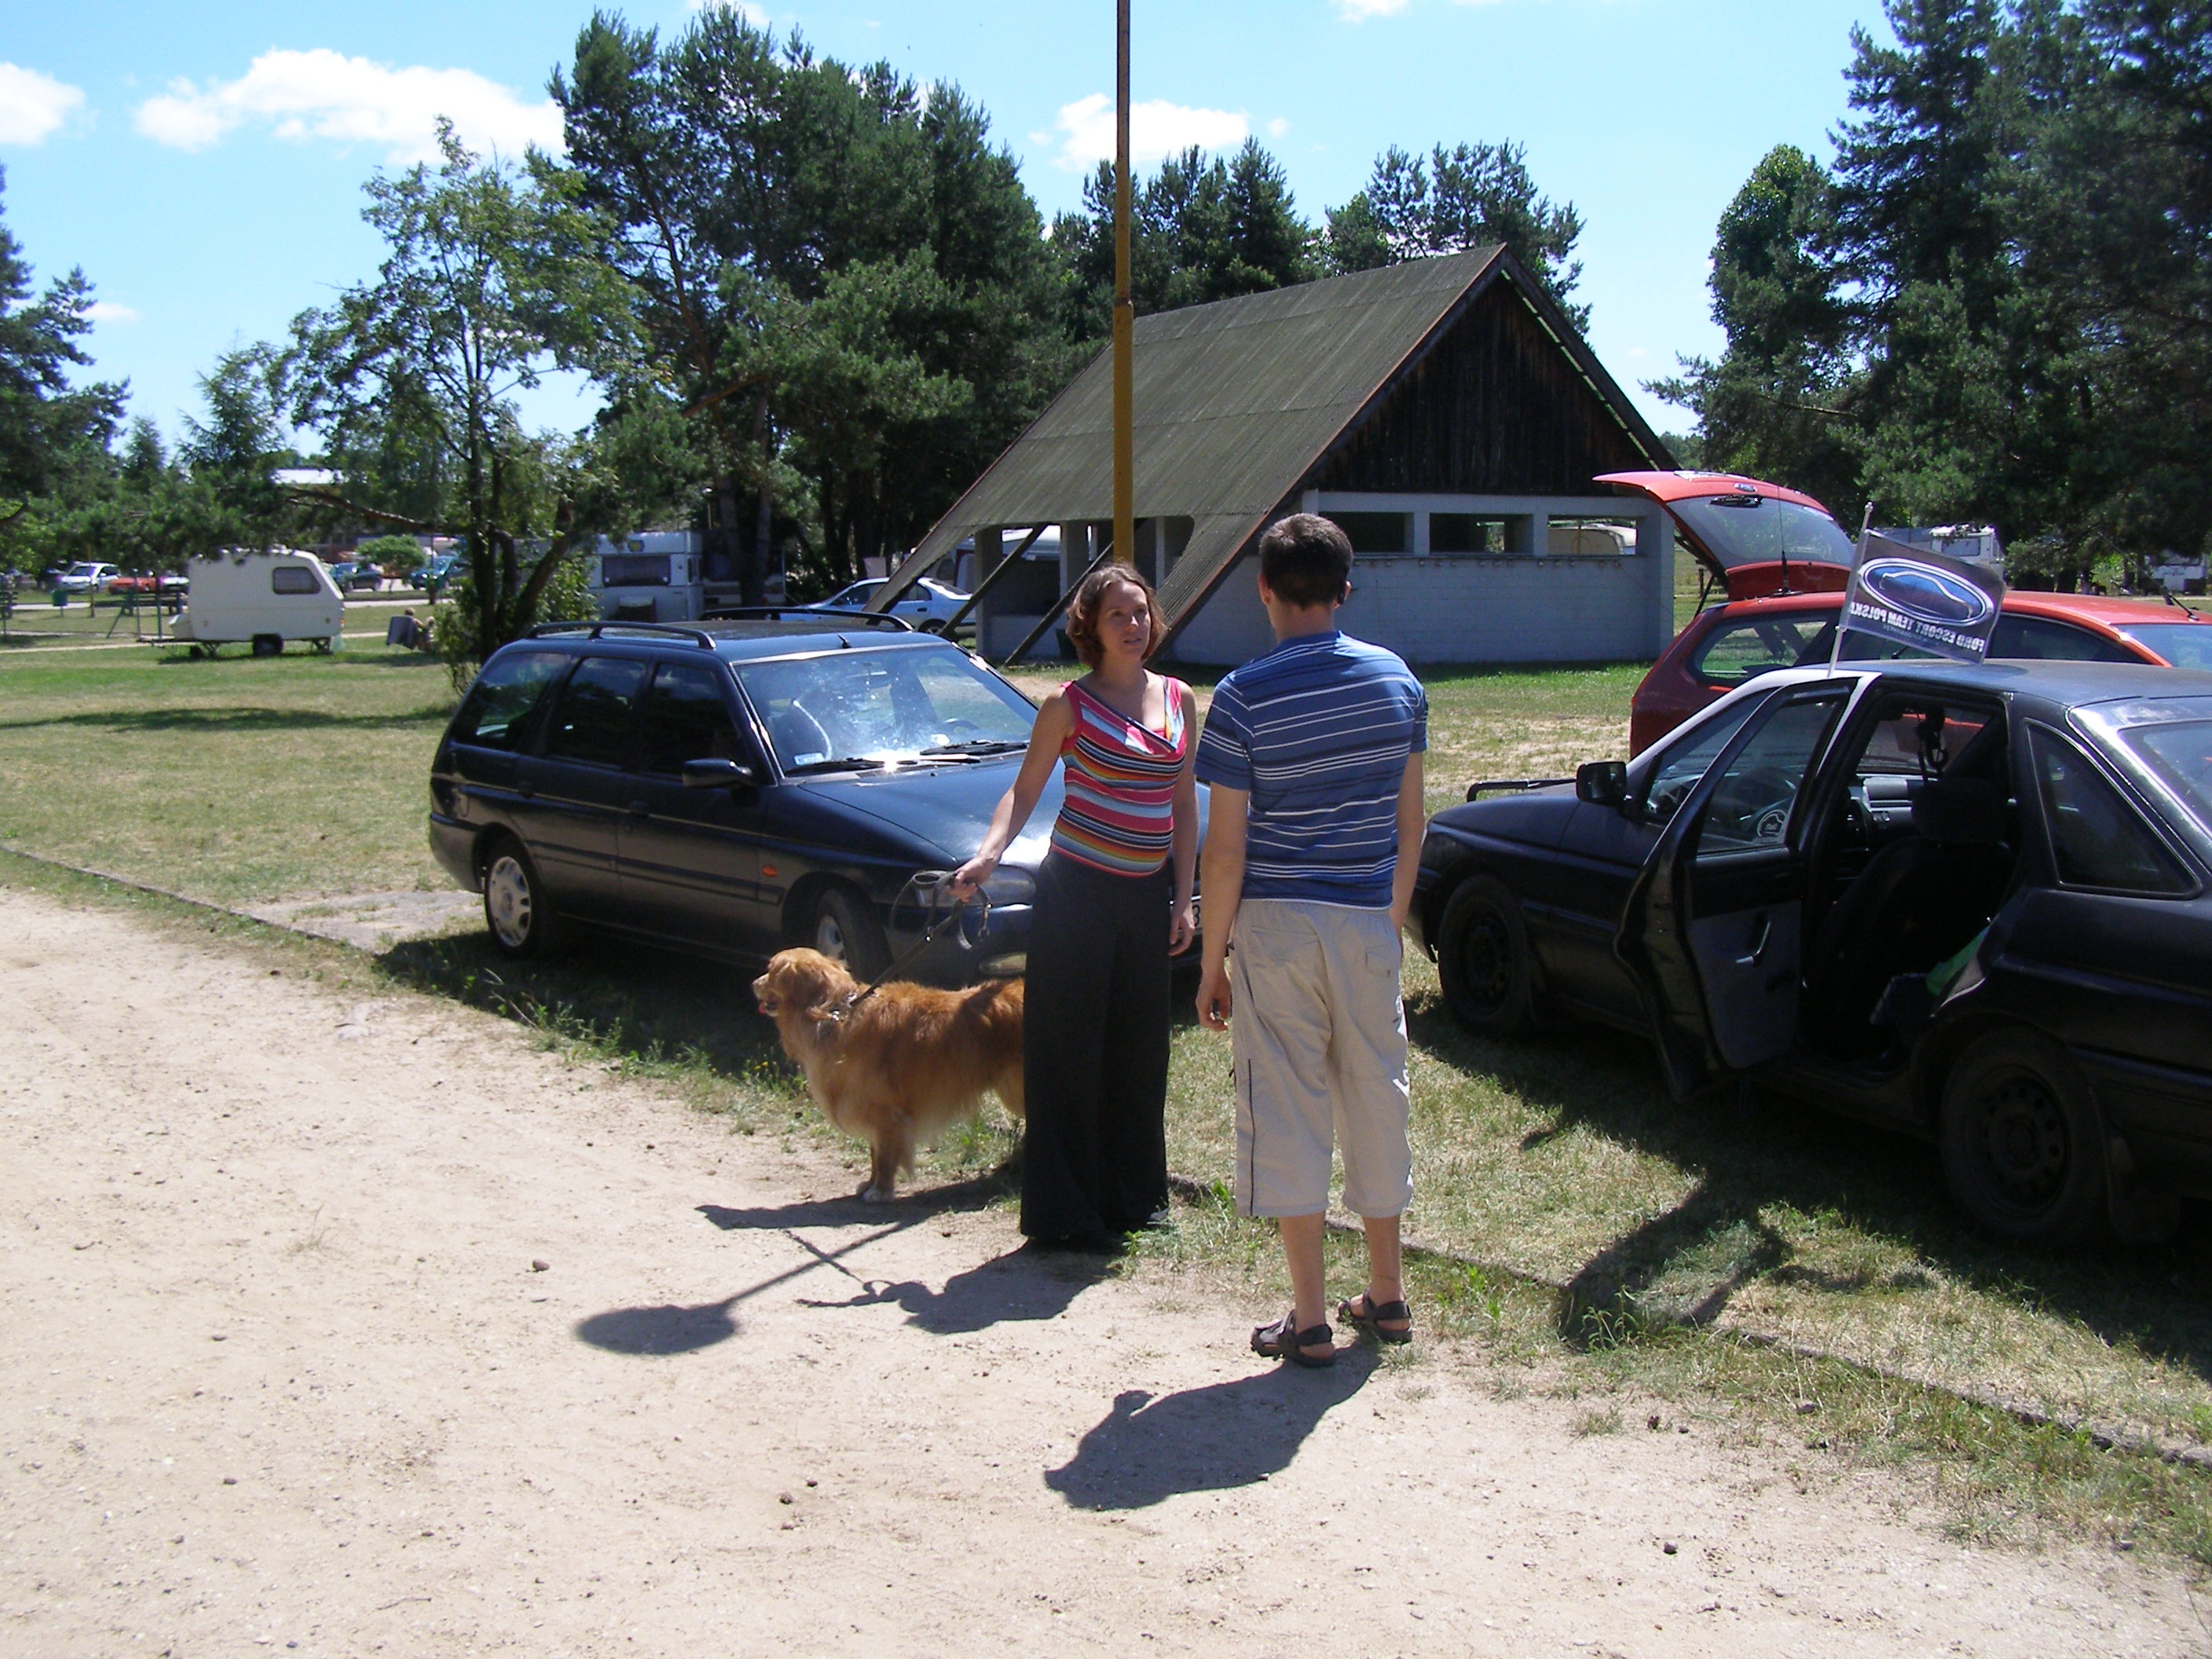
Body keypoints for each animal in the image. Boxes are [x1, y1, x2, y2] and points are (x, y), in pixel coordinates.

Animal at [752, 948, 1025, 1202]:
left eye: (771, 971)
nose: (753, 983)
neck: (836, 1012)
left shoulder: (885, 1113)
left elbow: (884, 1157)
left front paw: (881, 1190)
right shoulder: (870, 1110)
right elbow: (875, 1153)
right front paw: (870, 1183)